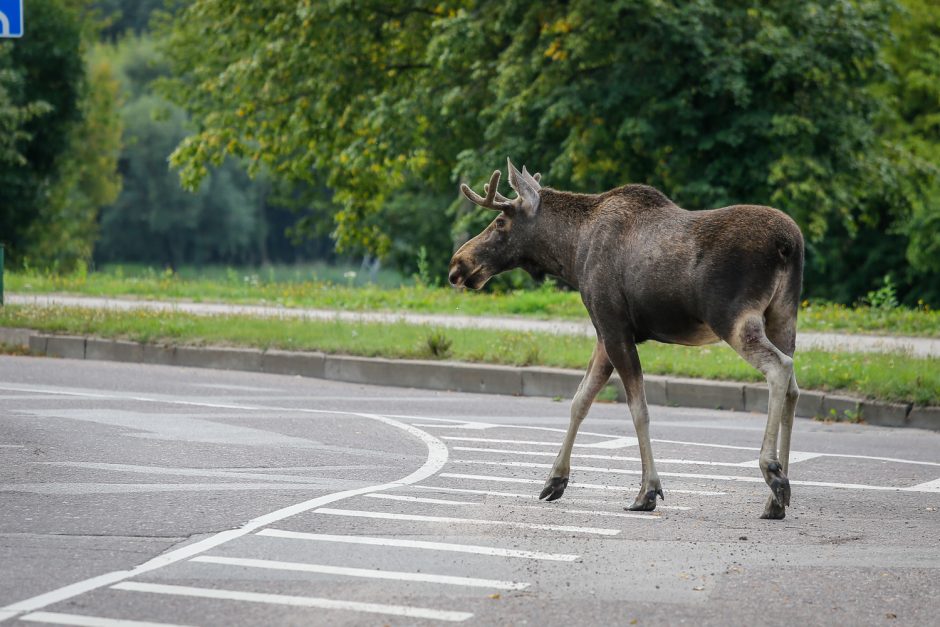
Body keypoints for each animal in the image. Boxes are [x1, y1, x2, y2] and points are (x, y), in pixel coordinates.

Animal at [448, 161, 800, 520]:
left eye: (500, 222)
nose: (458, 264)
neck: (572, 254)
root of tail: (790, 244)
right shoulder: (604, 334)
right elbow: (580, 400)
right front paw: (555, 479)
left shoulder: (614, 326)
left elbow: (638, 409)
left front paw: (647, 491)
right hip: (783, 316)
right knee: (794, 387)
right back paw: (776, 497)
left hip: (734, 318)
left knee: (779, 368)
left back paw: (772, 471)